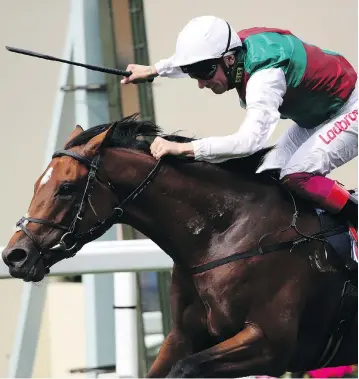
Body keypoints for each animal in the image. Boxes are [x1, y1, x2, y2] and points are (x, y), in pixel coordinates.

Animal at [1, 116, 358, 379]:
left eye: (66, 187)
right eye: (37, 184)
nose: (15, 256)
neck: (225, 233)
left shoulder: (270, 343)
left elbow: (185, 369)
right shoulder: (183, 336)